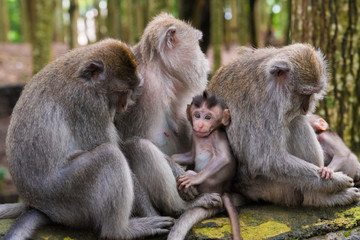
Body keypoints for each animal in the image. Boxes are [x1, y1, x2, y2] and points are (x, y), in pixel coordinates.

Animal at [0, 39, 174, 240]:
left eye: (130, 91)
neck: (84, 78)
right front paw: (151, 212)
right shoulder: (88, 104)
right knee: (109, 155)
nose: (123, 106)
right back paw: (120, 231)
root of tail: (37, 204)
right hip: (67, 196)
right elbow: (114, 148)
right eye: (120, 91)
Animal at [168, 91, 242, 240]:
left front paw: (193, 179)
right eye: (197, 115)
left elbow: (223, 157)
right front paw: (174, 162)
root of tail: (223, 191)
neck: (206, 135)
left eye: (208, 117)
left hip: (208, 187)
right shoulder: (194, 135)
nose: (201, 124)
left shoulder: (217, 136)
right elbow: (191, 156)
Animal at [208, 43, 360, 208]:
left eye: (312, 93)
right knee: (297, 122)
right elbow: (267, 161)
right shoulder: (265, 107)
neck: (271, 84)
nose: (306, 108)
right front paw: (337, 181)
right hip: (272, 188)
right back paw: (319, 197)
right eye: (303, 94)